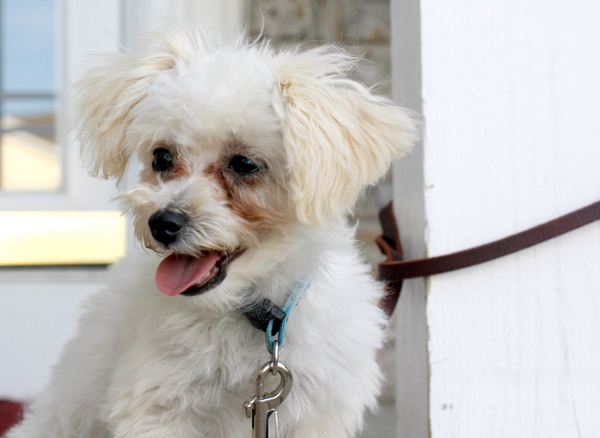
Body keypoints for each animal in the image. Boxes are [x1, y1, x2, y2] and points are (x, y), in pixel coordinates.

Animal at [7, 26, 418, 438]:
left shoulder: (319, 413)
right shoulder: (157, 405)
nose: (162, 223)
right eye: (162, 157)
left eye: (244, 164)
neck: (253, 314)